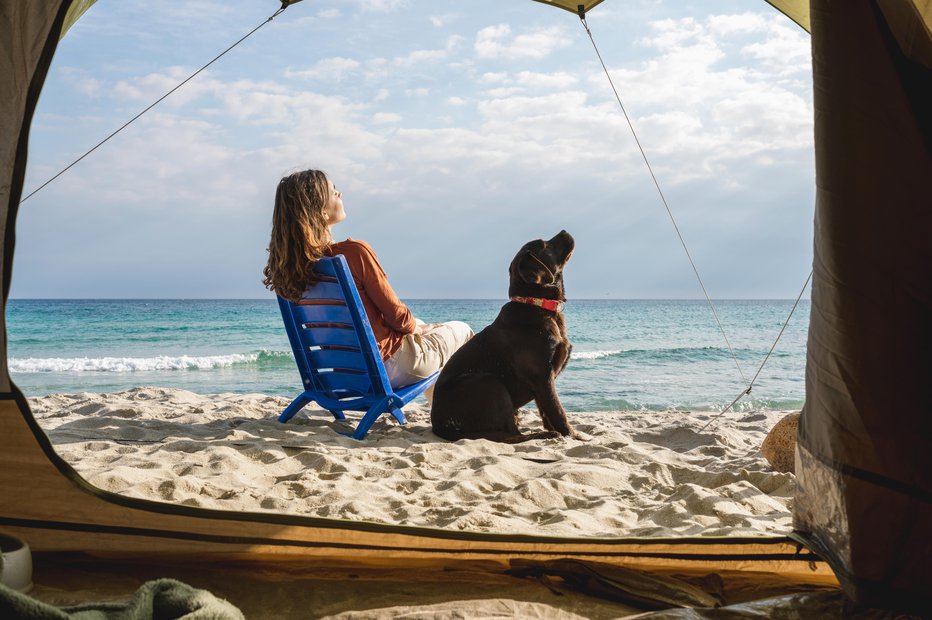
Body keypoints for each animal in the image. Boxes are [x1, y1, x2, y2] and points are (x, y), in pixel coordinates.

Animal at [434, 230, 580, 444]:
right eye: (544, 244)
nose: (563, 231)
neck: (534, 303)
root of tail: (439, 426)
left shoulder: (542, 382)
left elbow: (546, 411)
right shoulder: (543, 376)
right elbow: (557, 410)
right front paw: (572, 435)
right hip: (490, 383)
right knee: (512, 435)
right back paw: (542, 435)